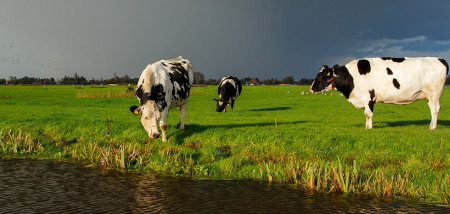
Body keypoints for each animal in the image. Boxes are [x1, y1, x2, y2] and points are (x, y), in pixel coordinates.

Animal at [310, 56, 446, 130]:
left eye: (321, 76)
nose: (311, 88)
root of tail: (440, 59)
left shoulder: (368, 97)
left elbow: (368, 113)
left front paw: (369, 128)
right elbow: (367, 114)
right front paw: (367, 127)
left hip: (434, 95)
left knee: (435, 109)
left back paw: (432, 127)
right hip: (429, 96)